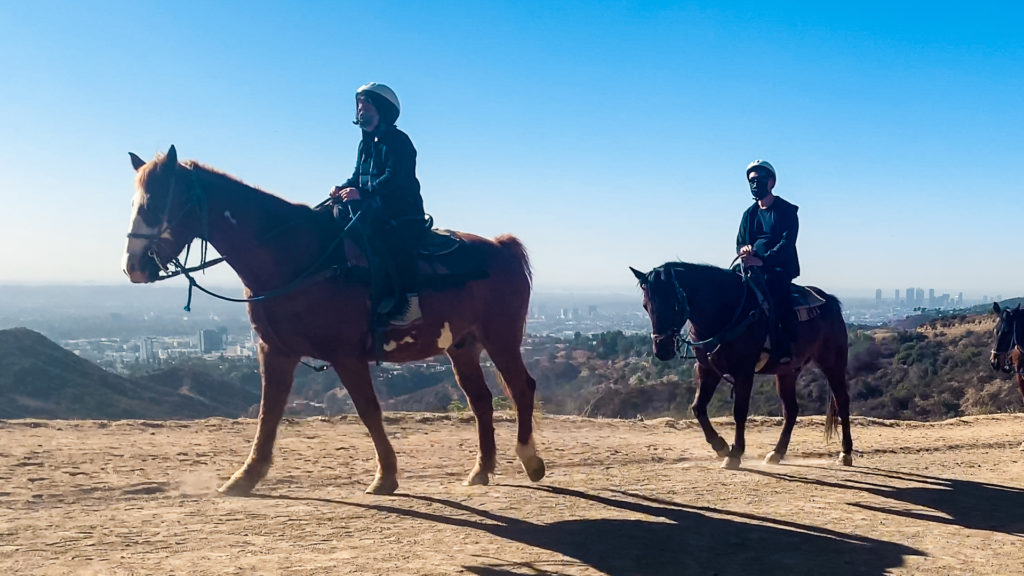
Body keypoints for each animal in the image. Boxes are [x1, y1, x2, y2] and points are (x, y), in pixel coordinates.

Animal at [123, 145, 548, 491]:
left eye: (156, 204)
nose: (134, 266)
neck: (298, 257)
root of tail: (501, 247)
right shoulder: (275, 351)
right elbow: (268, 412)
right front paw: (246, 477)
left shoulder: (346, 355)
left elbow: (368, 410)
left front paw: (386, 475)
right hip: (462, 347)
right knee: (481, 401)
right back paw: (481, 470)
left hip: (501, 338)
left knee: (522, 388)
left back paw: (530, 460)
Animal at [626, 262, 851, 469]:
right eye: (645, 306)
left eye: (674, 304)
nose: (661, 350)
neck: (725, 311)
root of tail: (830, 301)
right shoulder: (707, 370)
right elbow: (698, 407)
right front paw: (721, 446)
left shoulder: (744, 372)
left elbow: (739, 412)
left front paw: (734, 454)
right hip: (787, 372)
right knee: (791, 410)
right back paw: (777, 452)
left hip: (832, 363)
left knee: (842, 401)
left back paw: (846, 453)